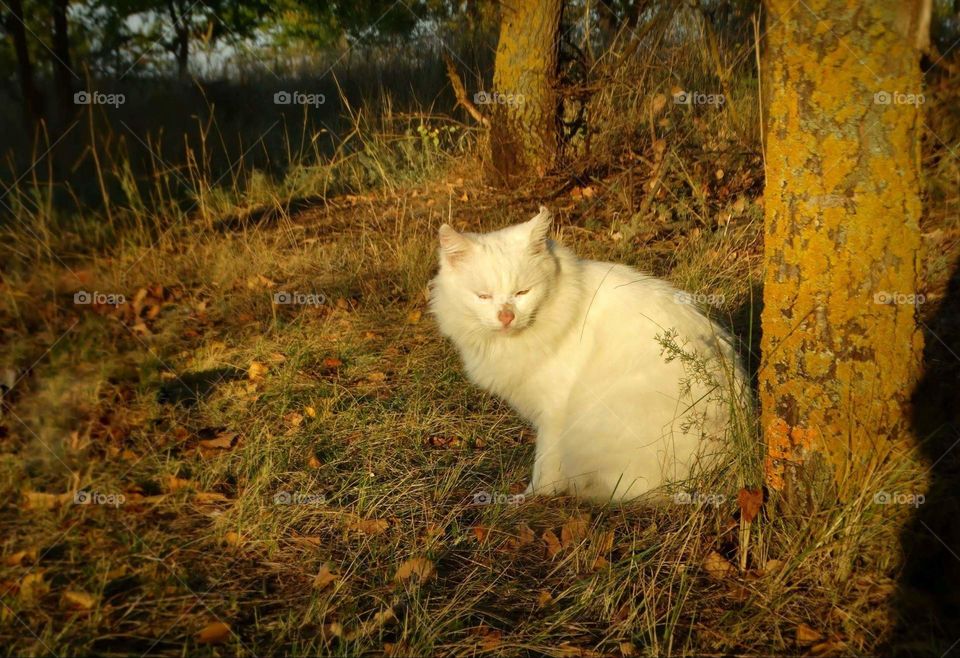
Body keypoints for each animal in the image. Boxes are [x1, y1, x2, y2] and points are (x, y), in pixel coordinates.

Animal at [432, 208, 748, 500]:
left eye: (522, 292)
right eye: (483, 296)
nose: (506, 316)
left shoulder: (553, 413)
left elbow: (544, 466)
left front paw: (531, 498)